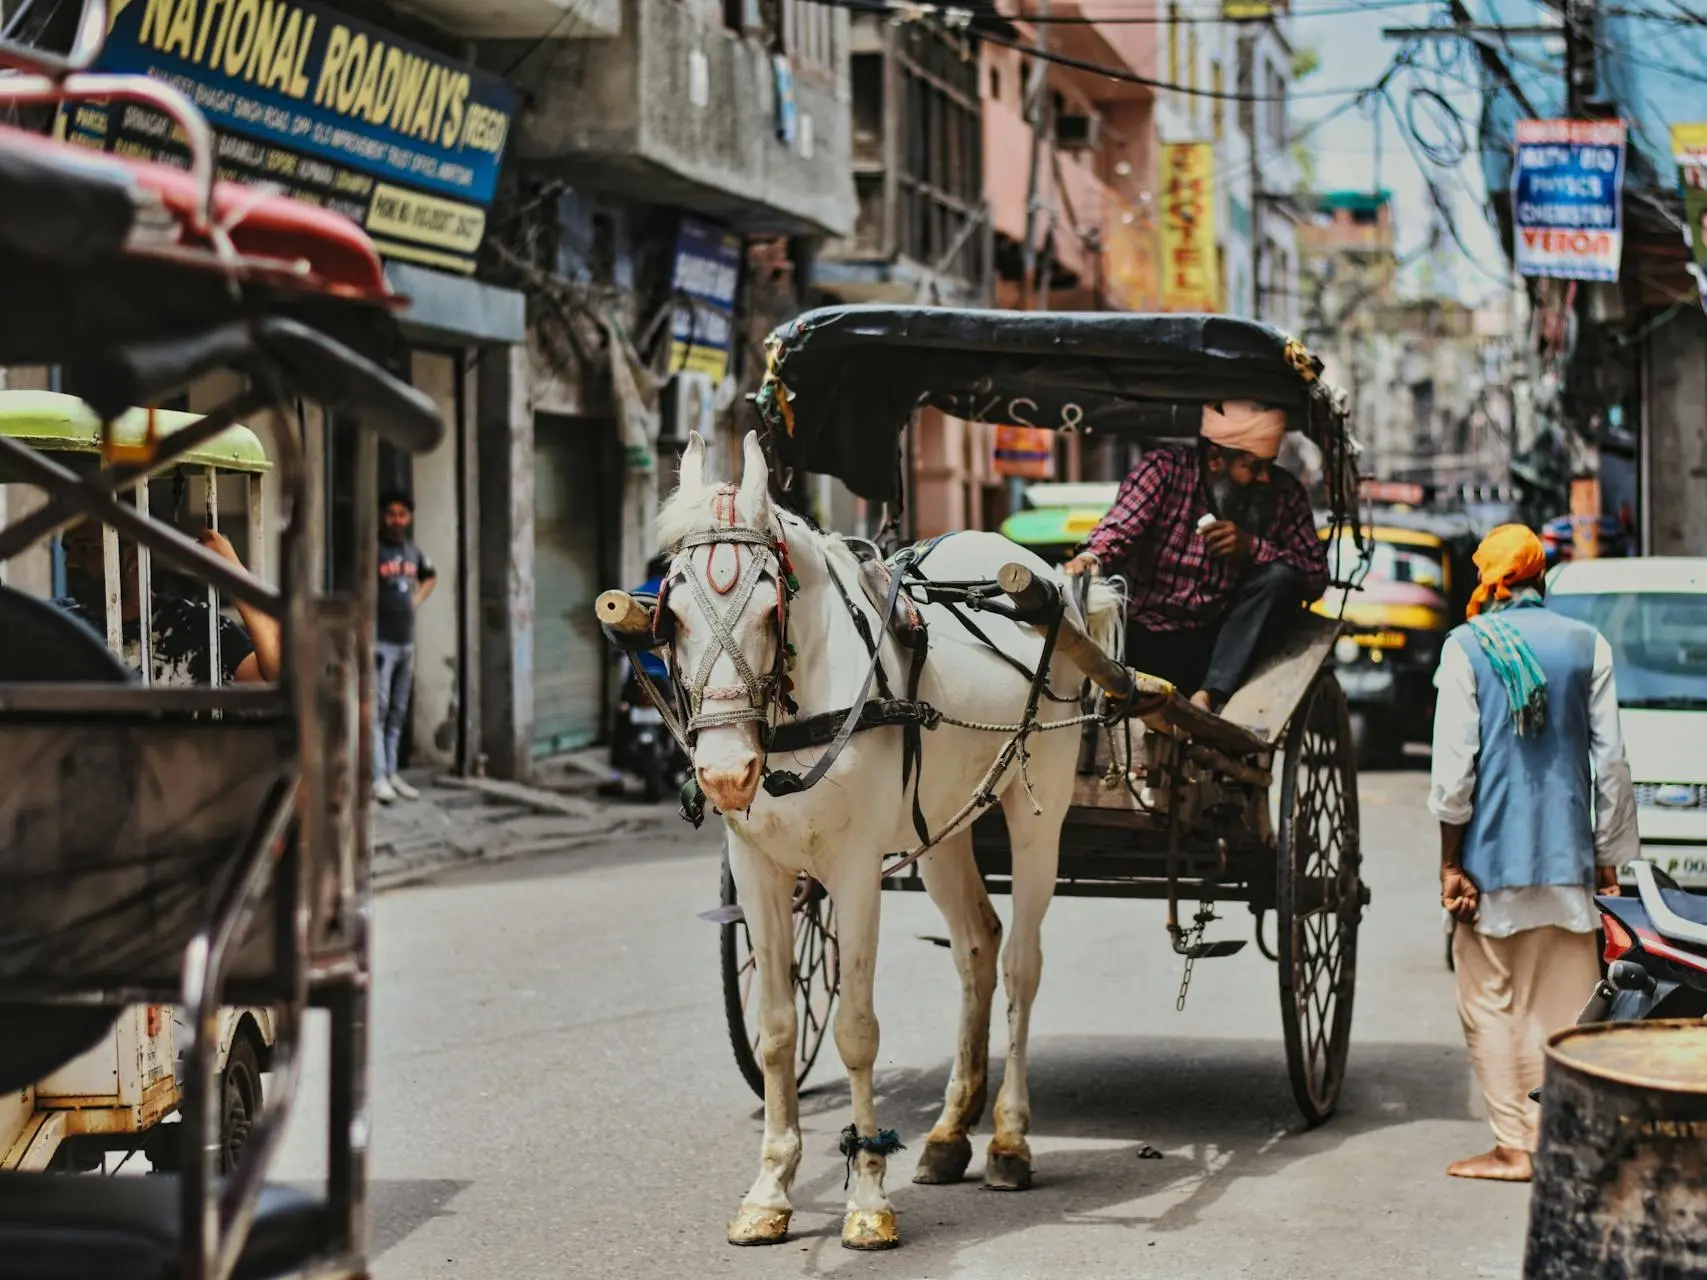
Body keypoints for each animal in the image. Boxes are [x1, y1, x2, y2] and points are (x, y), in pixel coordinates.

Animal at [658, 436, 1126, 1256]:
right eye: (672, 615)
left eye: (771, 606)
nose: (723, 772)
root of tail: (1039, 578)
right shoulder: (758, 866)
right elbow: (776, 1031)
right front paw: (770, 1189)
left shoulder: (854, 870)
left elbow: (855, 1031)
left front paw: (869, 1199)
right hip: (942, 826)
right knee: (977, 945)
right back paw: (948, 1132)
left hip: (1038, 803)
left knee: (1021, 961)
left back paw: (1009, 1140)